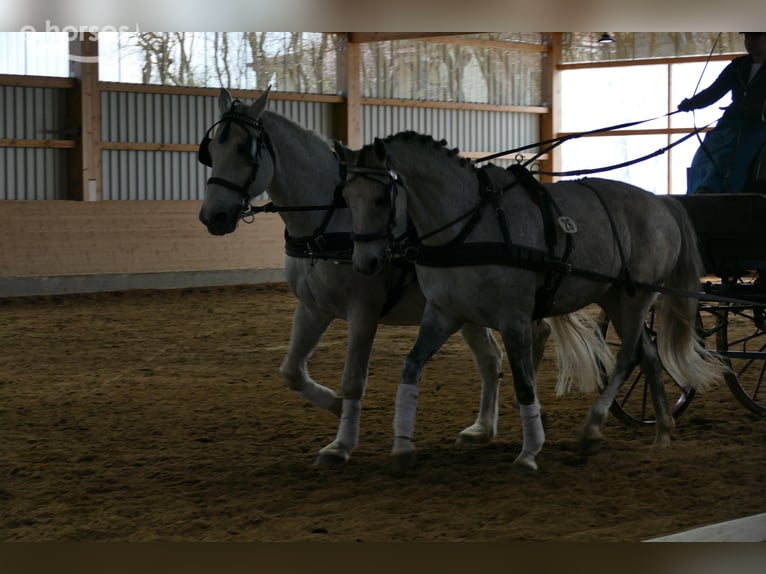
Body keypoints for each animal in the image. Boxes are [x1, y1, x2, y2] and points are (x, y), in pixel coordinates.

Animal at [197, 89, 550, 467]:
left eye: (243, 149)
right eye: (212, 151)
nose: (213, 216)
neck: (328, 221)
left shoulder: (363, 311)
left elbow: (353, 379)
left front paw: (340, 445)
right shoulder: (312, 309)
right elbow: (291, 371)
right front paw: (335, 406)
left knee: (528, 339)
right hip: (466, 309)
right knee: (490, 358)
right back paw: (483, 428)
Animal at [336, 131, 728, 471]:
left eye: (381, 199)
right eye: (346, 198)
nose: (365, 263)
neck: (469, 226)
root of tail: (659, 201)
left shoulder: (515, 319)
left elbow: (524, 383)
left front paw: (529, 452)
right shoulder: (443, 314)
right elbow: (411, 366)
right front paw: (402, 446)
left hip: (637, 297)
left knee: (627, 356)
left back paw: (593, 428)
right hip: (615, 297)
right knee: (648, 356)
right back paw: (662, 432)